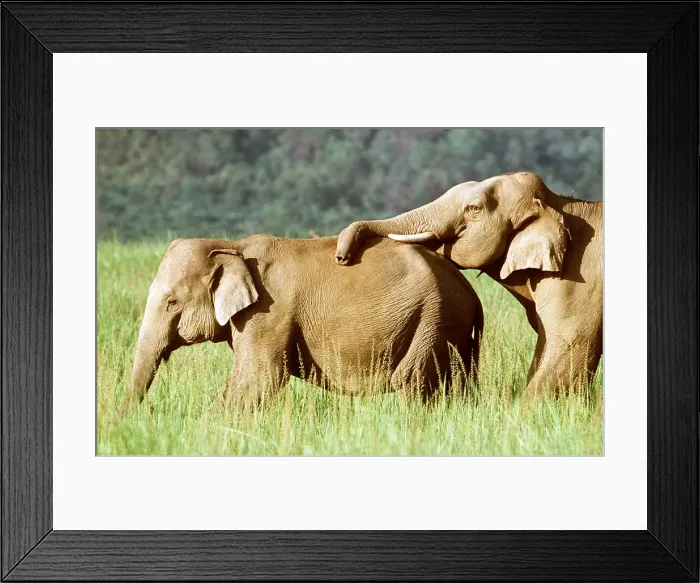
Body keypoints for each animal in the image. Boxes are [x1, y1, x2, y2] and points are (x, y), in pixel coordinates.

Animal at [119, 234, 483, 412]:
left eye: (171, 302)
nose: (140, 417)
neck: (232, 247)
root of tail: (471, 293)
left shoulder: (269, 313)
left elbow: (259, 380)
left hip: (433, 318)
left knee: (414, 384)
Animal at [334, 171, 603, 400]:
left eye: (474, 207)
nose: (342, 257)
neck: (559, 204)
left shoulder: (578, 280)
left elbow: (569, 347)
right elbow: (545, 346)